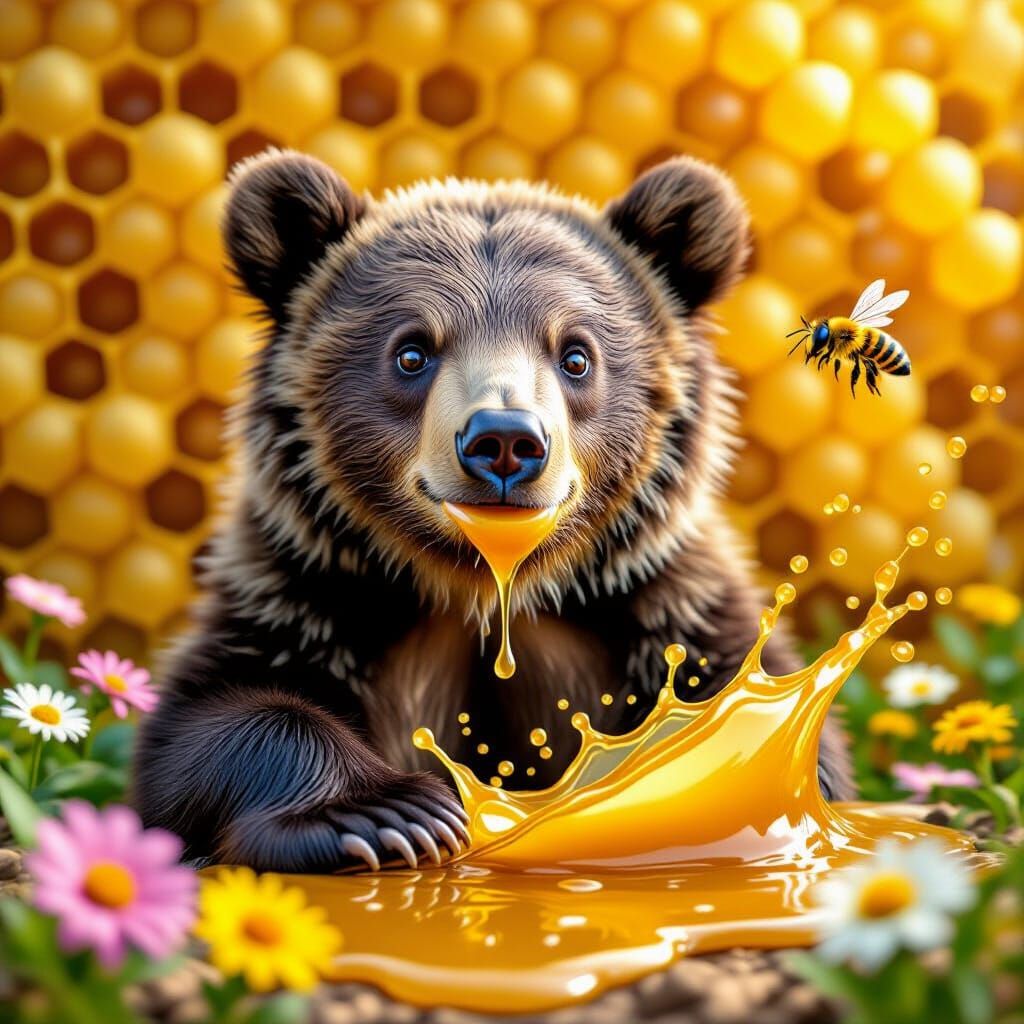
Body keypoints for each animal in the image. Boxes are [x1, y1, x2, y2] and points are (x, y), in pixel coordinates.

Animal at [133, 150, 853, 873]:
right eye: (412, 351)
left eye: (576, 354)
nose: (504, 440)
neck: (487, 591)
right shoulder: (308, 596)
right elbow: (212, 715)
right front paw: (387, 814)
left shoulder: (662, 608)